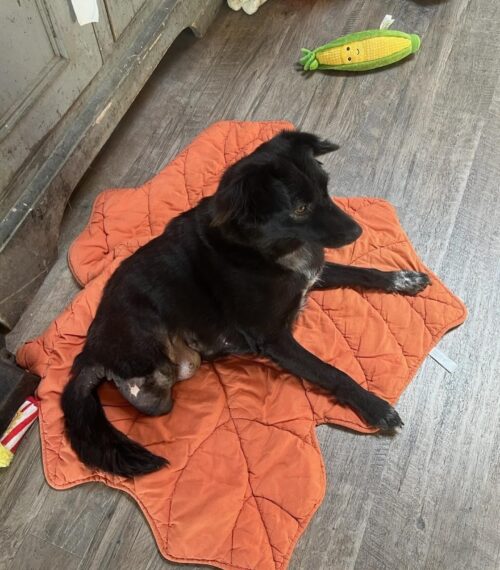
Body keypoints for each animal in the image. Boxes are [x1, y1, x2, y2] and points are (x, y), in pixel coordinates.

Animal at [62, 130, 430, 477]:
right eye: (300, 208)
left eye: (326, 187)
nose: (357, 232)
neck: (265, 248)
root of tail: (88, 353)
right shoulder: (275, 339)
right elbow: (331, 371)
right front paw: (374, 406)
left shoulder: (313, 272)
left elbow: (361, 271)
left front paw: (401, 279)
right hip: (151, 360)